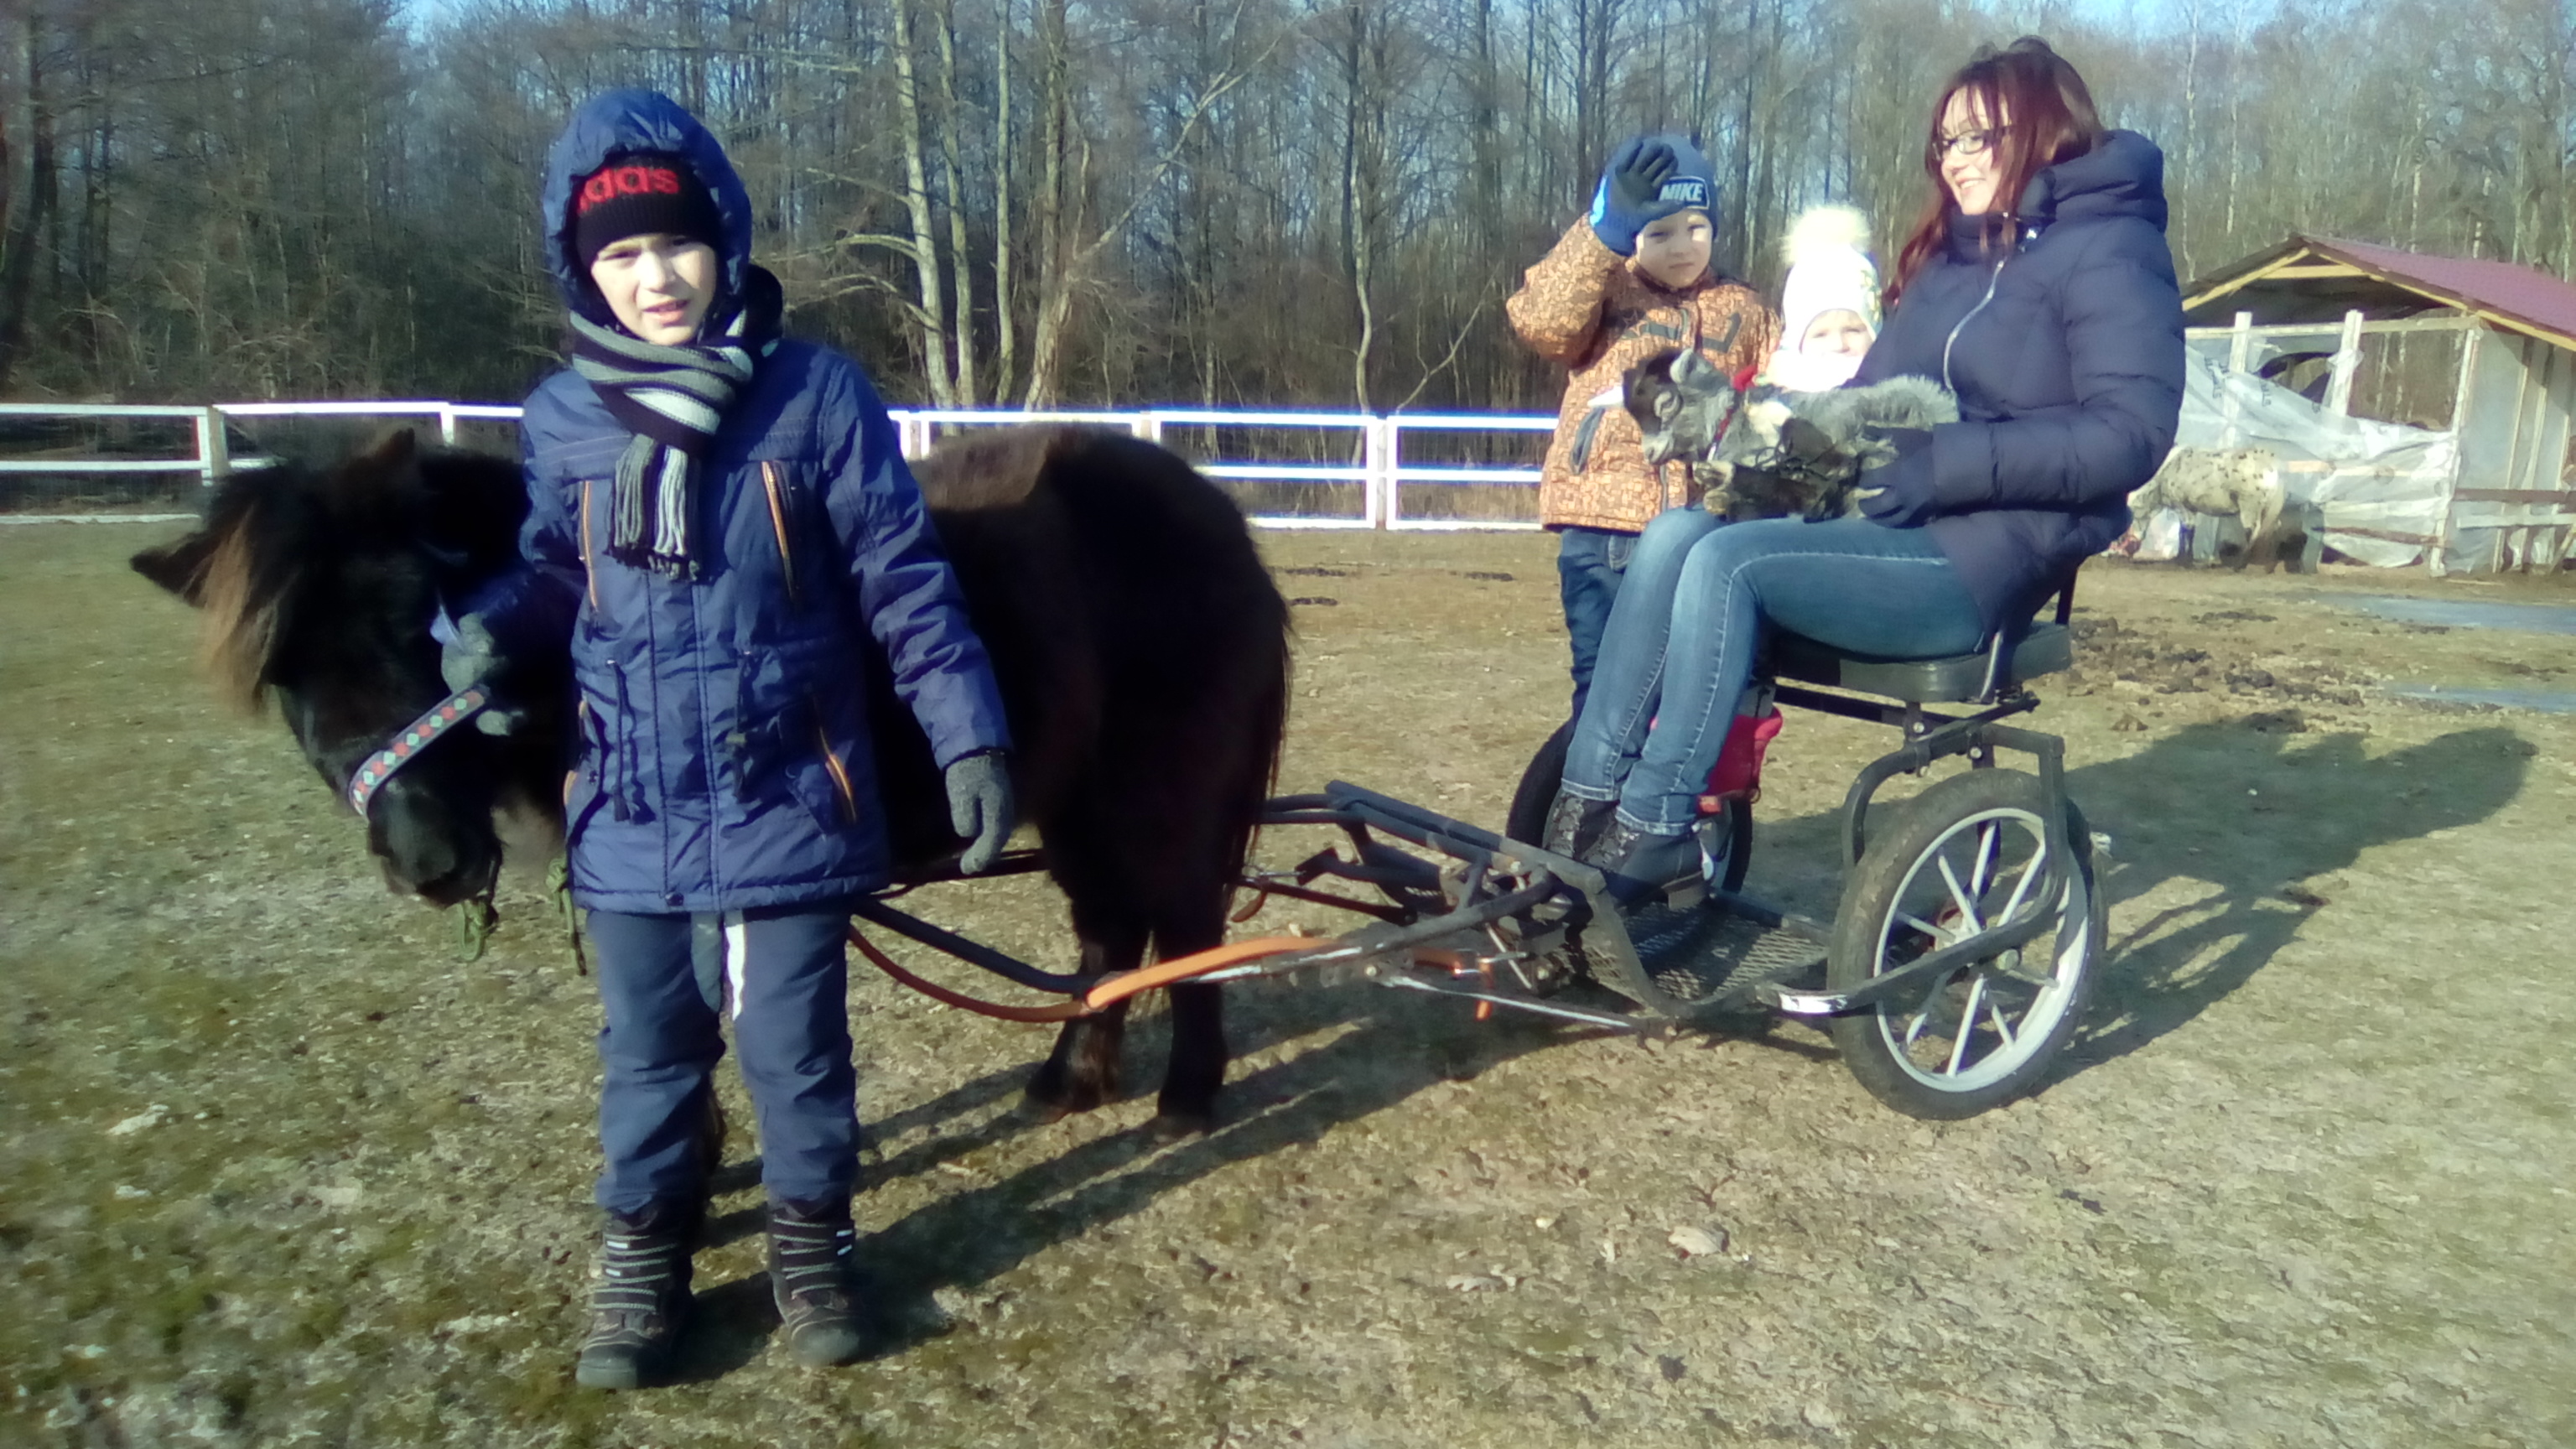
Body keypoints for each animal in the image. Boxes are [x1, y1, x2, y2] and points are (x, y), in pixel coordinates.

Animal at [127, 423, 1288, 1134]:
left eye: (422, 616)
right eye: (282, 673)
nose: (428, 859)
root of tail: (1217, 515)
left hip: (1155, 797)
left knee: (1184, 926)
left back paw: (1186, 1096)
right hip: (1080, 806)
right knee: (1112, 933)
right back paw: (1066, 1083)